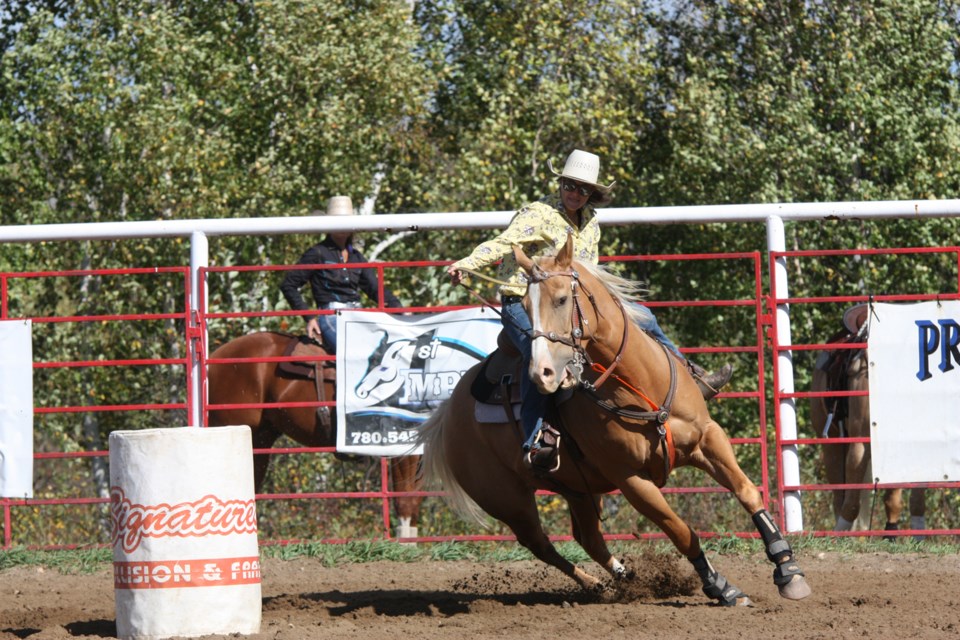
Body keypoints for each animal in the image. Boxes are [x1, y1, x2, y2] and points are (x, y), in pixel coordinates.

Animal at [420, 239, 808, 604]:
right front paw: (721, 587)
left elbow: (747, 492)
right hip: (508, 500)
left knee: (588, 538)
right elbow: (680, 531)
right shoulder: (631, 480)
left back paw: (624, 577)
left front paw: (788, 570)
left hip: (576, 487)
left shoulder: (709, 439)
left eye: (562, 299)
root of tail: (447, 413)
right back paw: (596, 585)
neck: (641, 384)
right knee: (541, 545)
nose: (541, 374)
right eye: (525, 308)